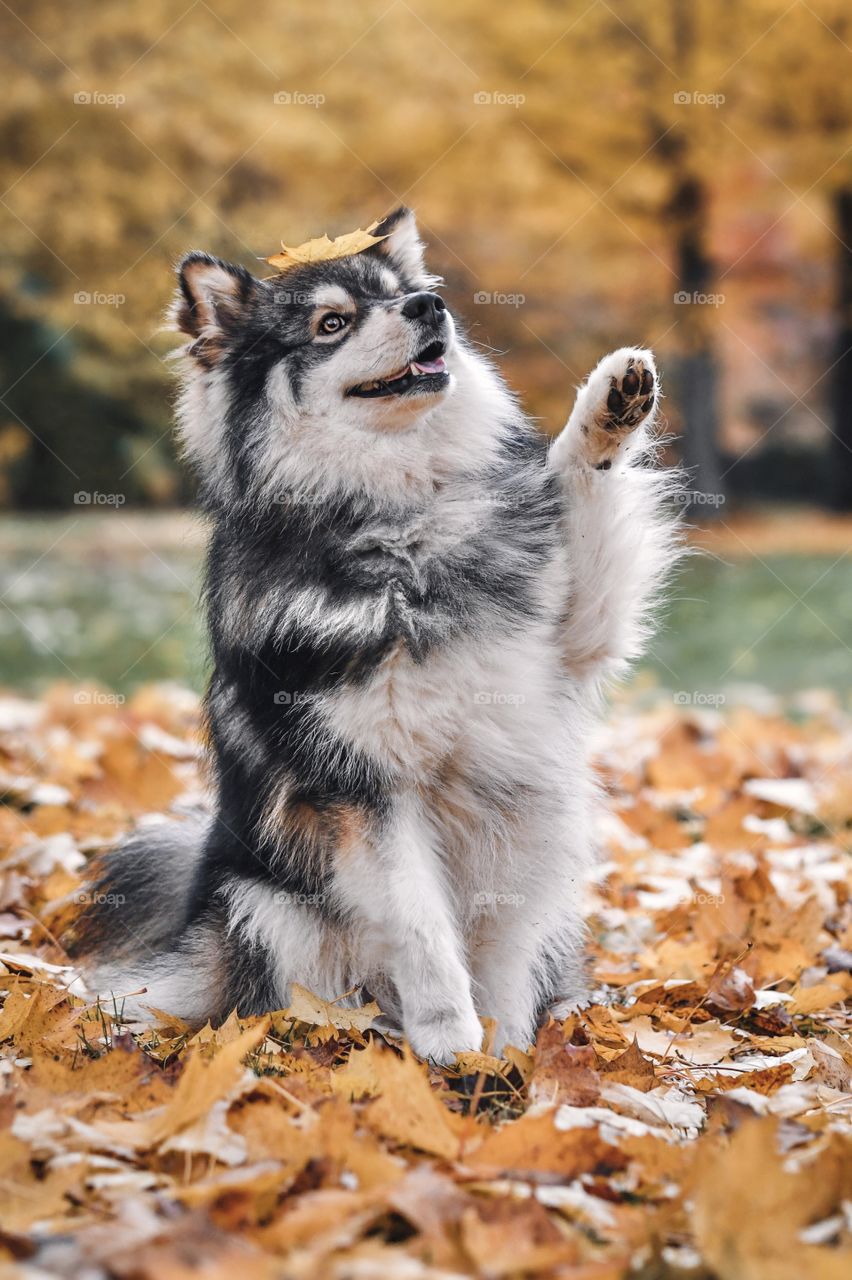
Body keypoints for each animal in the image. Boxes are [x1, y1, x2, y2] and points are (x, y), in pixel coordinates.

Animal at [76, 204, 680, 1059]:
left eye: (403, 293)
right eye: (332, 322)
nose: (431, 308)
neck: (402, 518)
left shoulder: (577, 636)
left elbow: (579, 485)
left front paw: (607, 408)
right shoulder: (366, 789)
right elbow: (422, 930)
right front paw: (451, 1041)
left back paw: (515, 1047)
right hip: (268, 911)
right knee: (306, 1006)